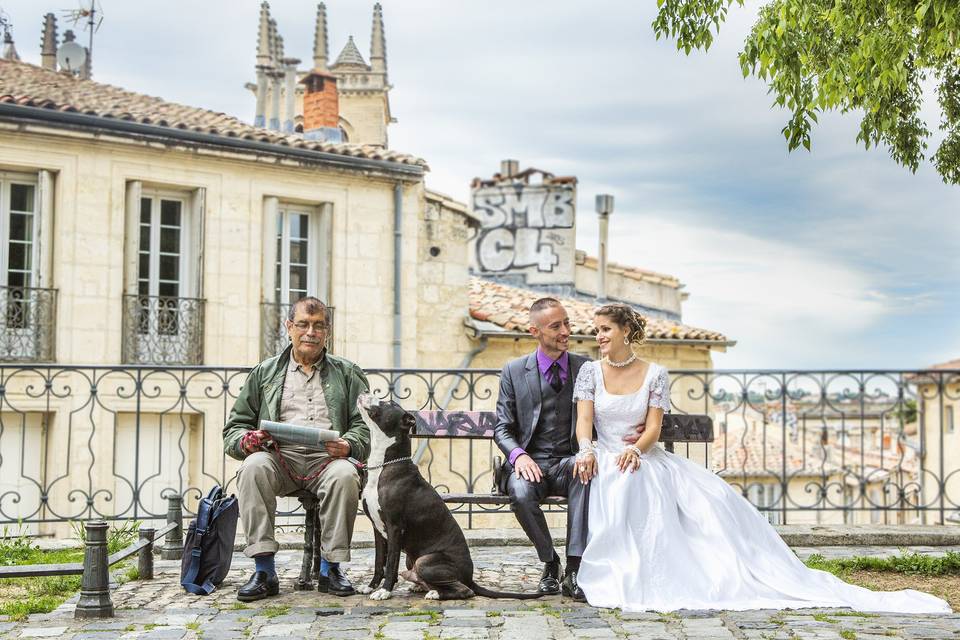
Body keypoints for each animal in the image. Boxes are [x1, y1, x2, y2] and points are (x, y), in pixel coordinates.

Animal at [356, 392, 544, 604]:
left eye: (387, 402)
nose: (364, 392)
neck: (385, 464)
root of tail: (470, 578)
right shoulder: (377, 529)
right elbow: (379, 561)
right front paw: (371, 586)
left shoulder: (395, 527)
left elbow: (390, 562)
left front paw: (384, 591)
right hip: (413, 560)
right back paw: (420, 586)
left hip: (425, 561)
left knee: (464, 590)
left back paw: (435, 593)